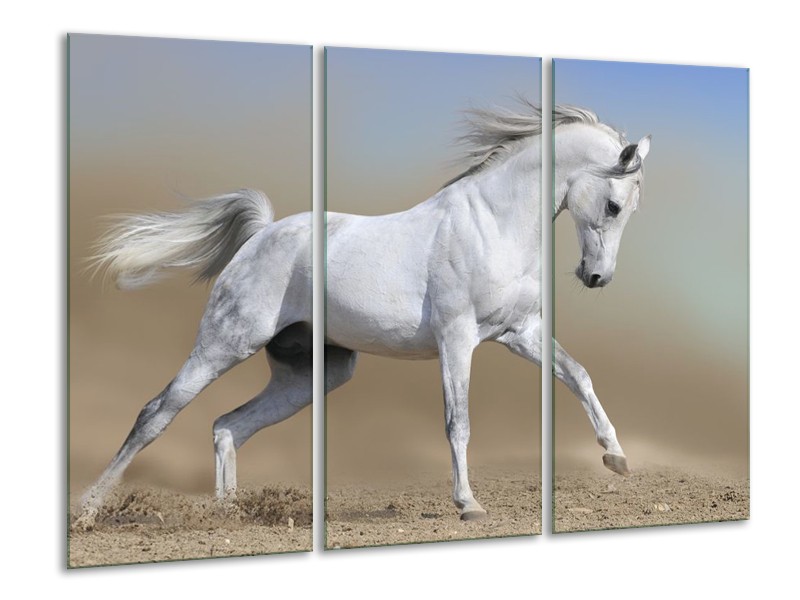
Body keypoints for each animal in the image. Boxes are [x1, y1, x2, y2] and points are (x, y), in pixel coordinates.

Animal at [73, 102, 650, 529]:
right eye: (615, 205)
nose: (596, 277)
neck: (492, 223)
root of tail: (261, 234)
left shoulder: (519, 333)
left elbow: (578, 375)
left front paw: (617, 458)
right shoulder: (457, 338)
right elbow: (458, 421)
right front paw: (468, 504)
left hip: (314, 374)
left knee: (228, 426)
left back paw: (229, 515)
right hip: (224, 344)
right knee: (155, 414)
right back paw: (87, 511)